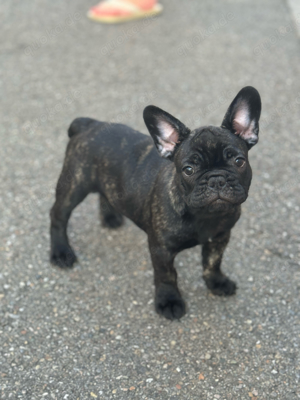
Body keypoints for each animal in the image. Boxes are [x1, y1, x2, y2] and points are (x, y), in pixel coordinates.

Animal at [49, 86, 260, 320]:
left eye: (239, 161)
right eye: (188, 169)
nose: (216, 179)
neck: (203, 215)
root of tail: (89, 124)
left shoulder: (220, 238)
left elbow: (213, 263)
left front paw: (217, 282)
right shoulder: (161, 249)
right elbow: (167, 275)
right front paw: (169, 301)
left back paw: (111, 217)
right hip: (74, 185)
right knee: (58, 215)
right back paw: (61, 252)